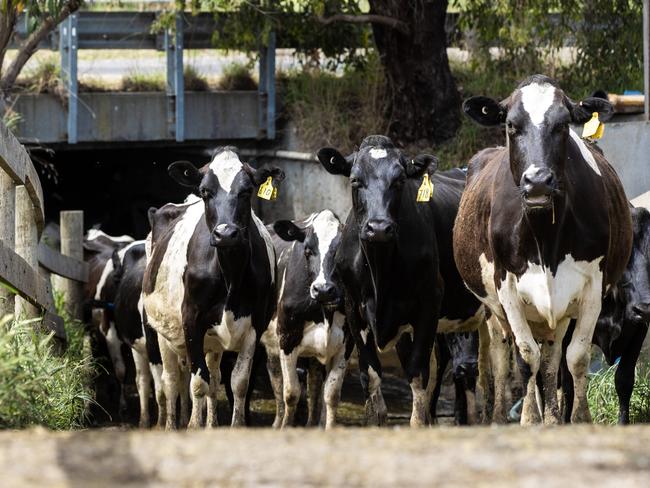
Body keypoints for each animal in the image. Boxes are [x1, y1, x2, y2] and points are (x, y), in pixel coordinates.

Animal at [143, 147, 280, 428]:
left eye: (247, 191)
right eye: (205, 191)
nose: (225, 233)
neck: (230, 275)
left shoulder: (255, 324)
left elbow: (238, 383)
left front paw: (234, 426)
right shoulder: (191, 320)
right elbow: (197, 383)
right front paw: (194, 426)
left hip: (213, 342)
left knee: (215, 379)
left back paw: (212, 424)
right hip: (161, 332)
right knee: (171, 381)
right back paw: (172, 425)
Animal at [260, 210, 352, 428]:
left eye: (340, 253)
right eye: (308, 251)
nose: (323, 289)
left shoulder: (347, 344)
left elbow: (331, 394)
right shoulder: (287, 338)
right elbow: (291, 393)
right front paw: (285, 427)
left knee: (315, 382)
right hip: (272, 343)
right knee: (276, 377)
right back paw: (278, 422)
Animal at [316, 135, 484, 426]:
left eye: (400, 180)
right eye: (355, 180)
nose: (379, 228)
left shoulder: (429, 303)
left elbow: (417, 375)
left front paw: (418, 424)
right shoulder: (353, 309)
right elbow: (371, 375)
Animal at [454, 74, 632, 426]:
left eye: (563, 125)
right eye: (511, 125)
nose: (537, 181)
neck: (544, 238)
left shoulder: (592, 286)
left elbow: (575, 357)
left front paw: (576, 418)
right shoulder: (506, 286)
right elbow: (525, 356)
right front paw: (528, 419)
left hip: (557, 312)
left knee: (550, 356)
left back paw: (551, 417)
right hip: (494, 311)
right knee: (503, 355)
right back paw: (501, 415)